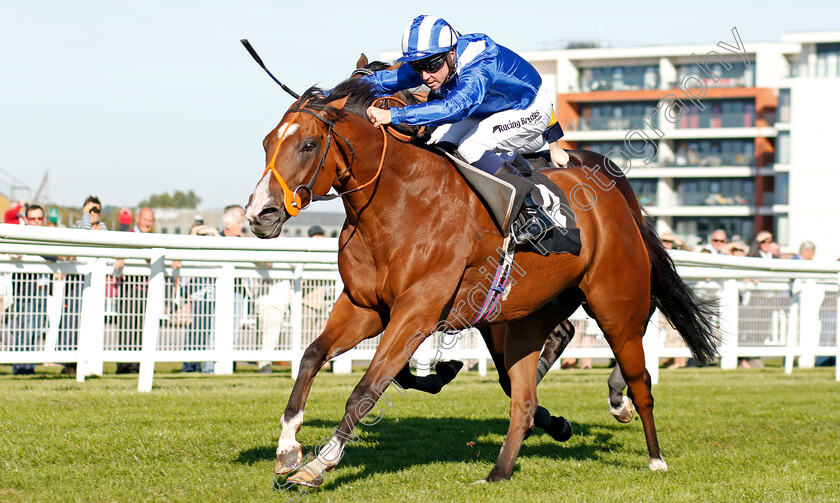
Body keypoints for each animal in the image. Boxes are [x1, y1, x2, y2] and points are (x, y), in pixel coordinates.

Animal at [244, 79, 716, 488]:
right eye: (267, 143)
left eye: (308, 145)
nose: (259, 214)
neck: (400, 202)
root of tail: (616, 196)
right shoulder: (365, 307)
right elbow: (311, 357)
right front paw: (287, 449)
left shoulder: (416, 313)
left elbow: (366, 388)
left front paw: (320, 463)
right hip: (529, 315)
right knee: (524, 390)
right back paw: (507, 463)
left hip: (616, 303)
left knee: (640, 373)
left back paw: (650, 450)